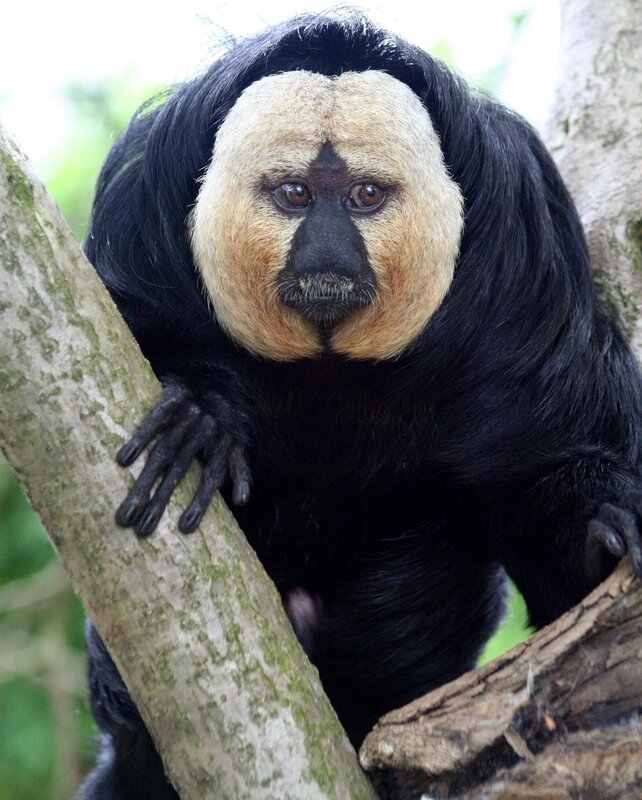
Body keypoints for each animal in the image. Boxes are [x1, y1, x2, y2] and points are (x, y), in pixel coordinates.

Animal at [76, 12, 642, 799]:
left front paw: (599, 534)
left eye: (365, 196)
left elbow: (542, 459)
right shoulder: (145, 197)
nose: (327, 254)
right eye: (294, 194)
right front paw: (200, 414)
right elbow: (124, 333)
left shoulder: (526, 244)